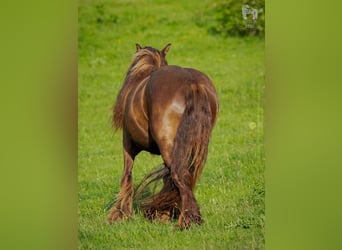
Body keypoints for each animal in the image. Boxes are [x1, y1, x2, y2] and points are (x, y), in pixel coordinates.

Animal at [107, 42, 219, 229]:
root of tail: (192, 83)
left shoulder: (128, 145)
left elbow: (127, 175)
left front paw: (119, 214)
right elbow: (167, 180)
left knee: (180, 177)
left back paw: (186, 221)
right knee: (185, 177)